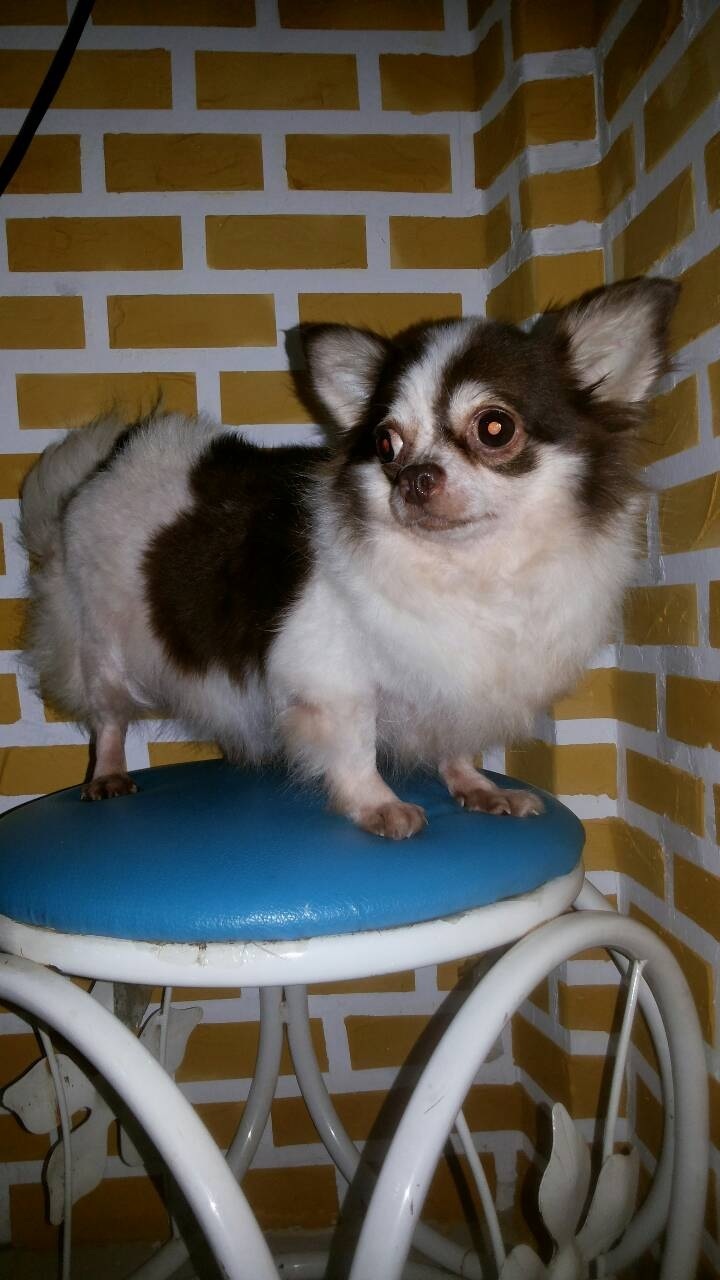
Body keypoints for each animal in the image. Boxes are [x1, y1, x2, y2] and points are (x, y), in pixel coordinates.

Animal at [19, 276, 678, 838]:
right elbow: (356, 746)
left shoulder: (452, 673)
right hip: (104, 646)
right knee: (108, 718)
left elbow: (455, 738)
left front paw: (474, 786)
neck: (474, 572)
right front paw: (377, 804)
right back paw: (108, 774)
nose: (414, 477)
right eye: (385, 444)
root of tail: (107, 462)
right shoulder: (331, 679)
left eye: (495, 428)